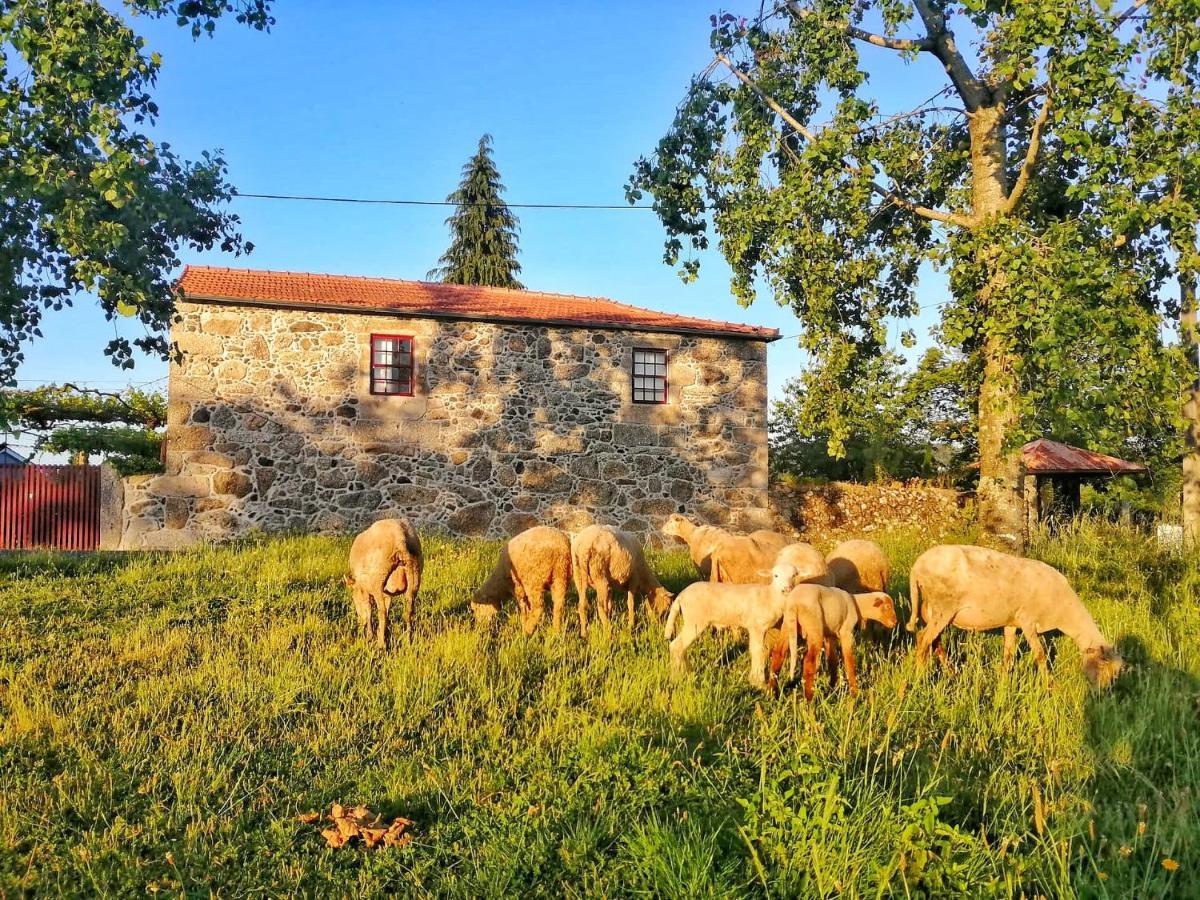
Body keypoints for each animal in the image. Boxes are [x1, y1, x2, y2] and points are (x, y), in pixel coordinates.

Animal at [343, 520, 427, 648]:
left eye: (355, 600)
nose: (359, 622)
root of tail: (400, 537)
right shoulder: (387, 593)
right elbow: (387, 608)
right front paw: (384, 633)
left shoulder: (364, 589)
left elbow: (369, 610)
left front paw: (370, 636)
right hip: (414, 572)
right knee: (409, 610)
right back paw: (408, 641)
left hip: (378, 578)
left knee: (381, 611)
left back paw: (381, 644)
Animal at [667, 564, 806, 691]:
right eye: (775, 575)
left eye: (794, 575)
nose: (787, 589)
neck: (770, 596)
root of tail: (682, 595)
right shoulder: (756, 626)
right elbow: (758, 652)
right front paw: (759, 683)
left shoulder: (757, 628)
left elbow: (758, 650)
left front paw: (754, 679)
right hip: (695, 620)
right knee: (676, 646)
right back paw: (677, 677)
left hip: (692, 621)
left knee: (681, 647)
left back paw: (687, 672)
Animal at [907, 542, 1123, 691]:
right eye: (1103, 667)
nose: (1101, 696)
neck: (1064, 611)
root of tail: (917, 566)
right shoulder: (1028, 620)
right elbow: (1040, 655)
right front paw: (1050, 686)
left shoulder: (1011, 622)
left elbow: (1009, 654)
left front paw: (1003, 682)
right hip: (943, 606)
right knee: (923, 639)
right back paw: (920, 676)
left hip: (933, 609)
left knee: (935, 642)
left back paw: (952, 673)